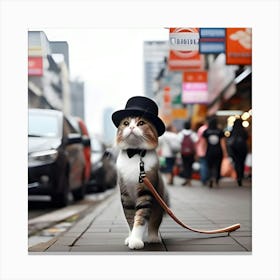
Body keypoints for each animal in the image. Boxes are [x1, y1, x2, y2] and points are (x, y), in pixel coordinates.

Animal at [114, 116, 168, 249]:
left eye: (141, 123)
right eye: (126, 123)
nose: (132, 127)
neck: (135, 155)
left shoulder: (145, 193)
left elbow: (140, 219)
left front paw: (136, 241)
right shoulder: (126, 195)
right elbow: (130, 219)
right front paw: (131, 238)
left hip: (158, 206)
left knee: (154, 223)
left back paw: (153, 238)